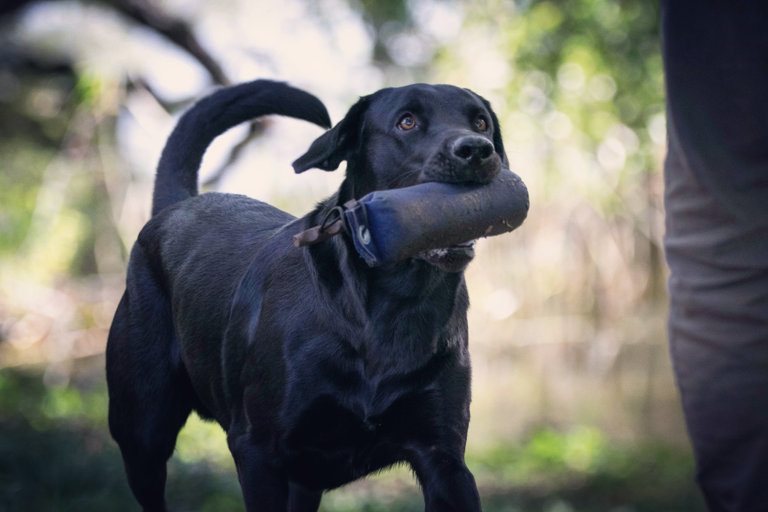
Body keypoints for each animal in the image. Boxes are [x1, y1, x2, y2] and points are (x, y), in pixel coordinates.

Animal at [106, 78, 504, 510]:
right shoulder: (257, 450)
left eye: (480, 122)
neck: (396, 307)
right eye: (407, 121)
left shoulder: (443, 459)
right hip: (142, 431)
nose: (476, 149)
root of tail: (179, 204)